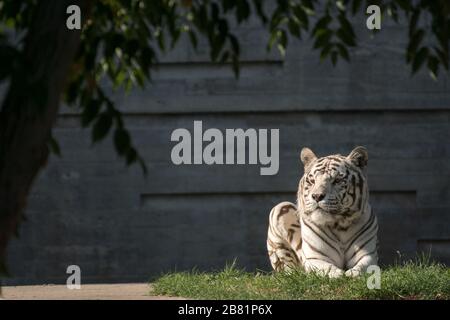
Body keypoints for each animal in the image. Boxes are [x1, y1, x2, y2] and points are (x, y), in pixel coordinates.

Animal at [268, 146, 380, 276]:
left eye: (337, 180)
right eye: (312, 181)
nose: (317, 196)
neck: (340, 226)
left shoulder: (368, 255)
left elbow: (362, 268)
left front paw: (351, 274)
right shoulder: (315, 258)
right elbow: (328, 268)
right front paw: (339, 275)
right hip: (280, 207)